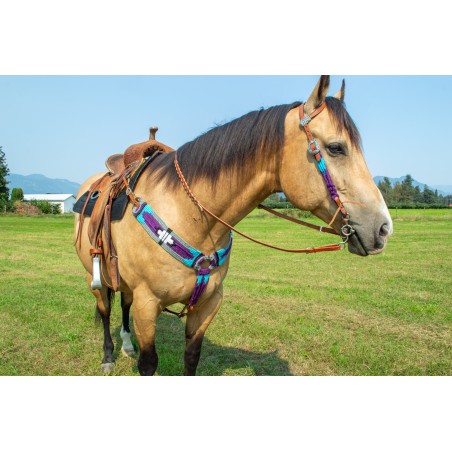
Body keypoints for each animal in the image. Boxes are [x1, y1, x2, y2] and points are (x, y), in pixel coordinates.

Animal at [74, 76, 392, 376]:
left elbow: (192, 357)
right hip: (96, 277)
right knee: (106, 310)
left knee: (122, 304)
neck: (191, 216)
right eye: (336, 148)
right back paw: (108, 357)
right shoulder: (147, 303)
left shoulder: (208, 303)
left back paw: (127, 345)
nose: (383, 228)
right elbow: (148, 363)